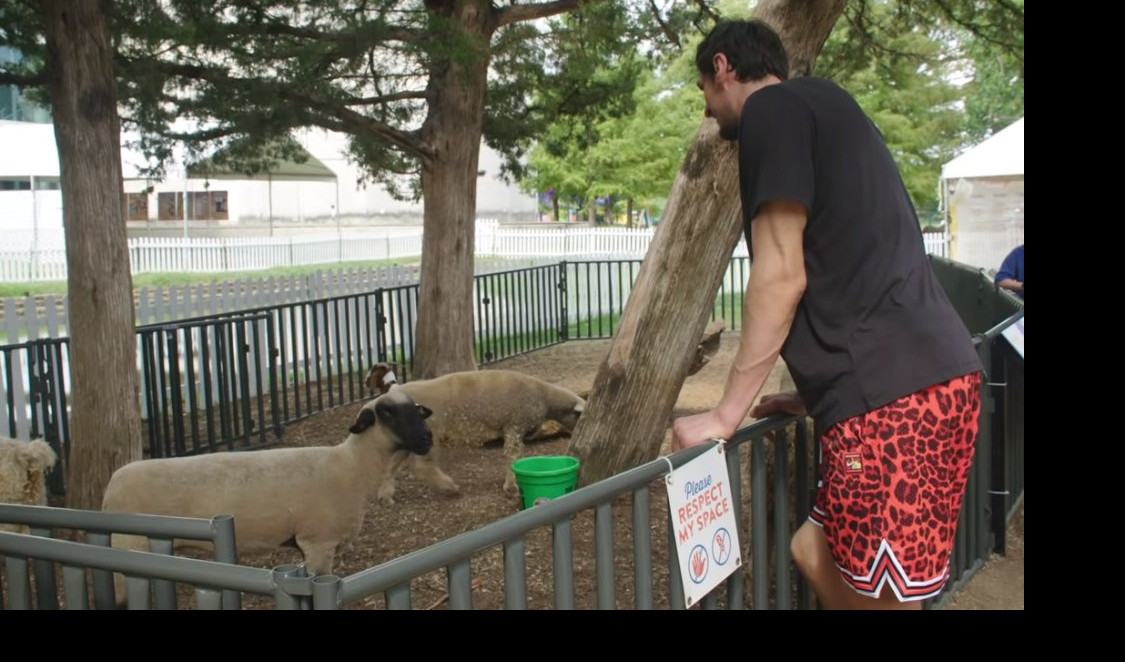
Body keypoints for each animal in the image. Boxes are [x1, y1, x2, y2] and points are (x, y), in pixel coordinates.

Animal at [99, 389, 432, 576]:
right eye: (386, 413)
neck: (351, 466)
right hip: (127, 543)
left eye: (417, 410)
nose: (428, 438)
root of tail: (111, 484)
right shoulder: (318, 540)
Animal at [364, 367, 589, 502]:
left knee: (392, 465)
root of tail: (390, 396)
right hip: (429, 432)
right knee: (423, 466)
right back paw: (449, 487)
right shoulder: (514, 427)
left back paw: (385, 494)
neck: (545, 398)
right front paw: (511, 487)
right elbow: (512, 457)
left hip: (407, 438)